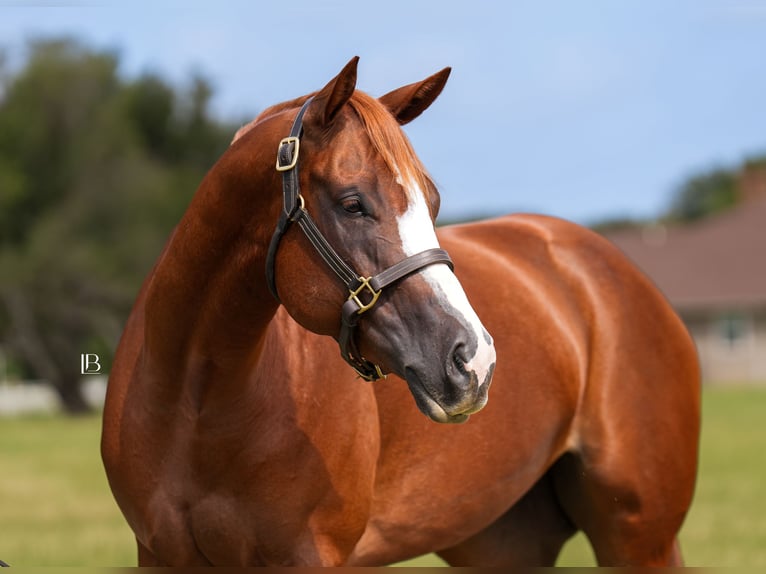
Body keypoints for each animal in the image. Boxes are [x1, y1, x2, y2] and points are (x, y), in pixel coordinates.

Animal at [101, 57, 701, 567]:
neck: (199, 403)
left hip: (640, 539)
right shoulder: (160, 555)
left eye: (432, 203)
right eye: (352, 203)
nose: (473, 361)